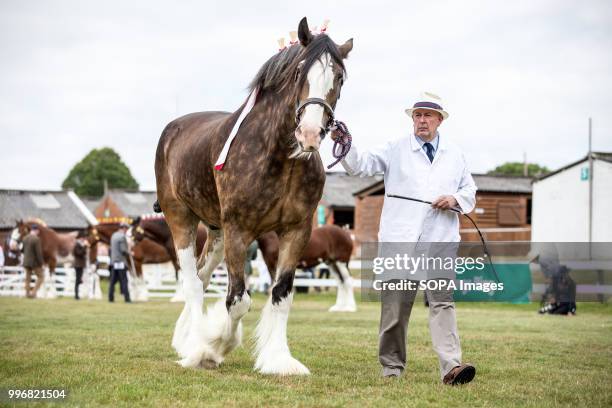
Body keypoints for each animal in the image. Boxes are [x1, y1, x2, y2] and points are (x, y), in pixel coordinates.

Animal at [154, 19, 354, 376]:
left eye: (340, 77)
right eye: (299, 72)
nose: (310, 134)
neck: (278, 157)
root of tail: (173, 129)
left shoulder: (295, 231)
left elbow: (281, 295)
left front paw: (279, 359)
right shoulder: (239, 231)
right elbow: (238, 300)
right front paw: (216, 345)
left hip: (216, 233)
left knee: (201, 277)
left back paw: (185, 338)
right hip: (181, 219)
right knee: (192, 284)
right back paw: (196, 348)